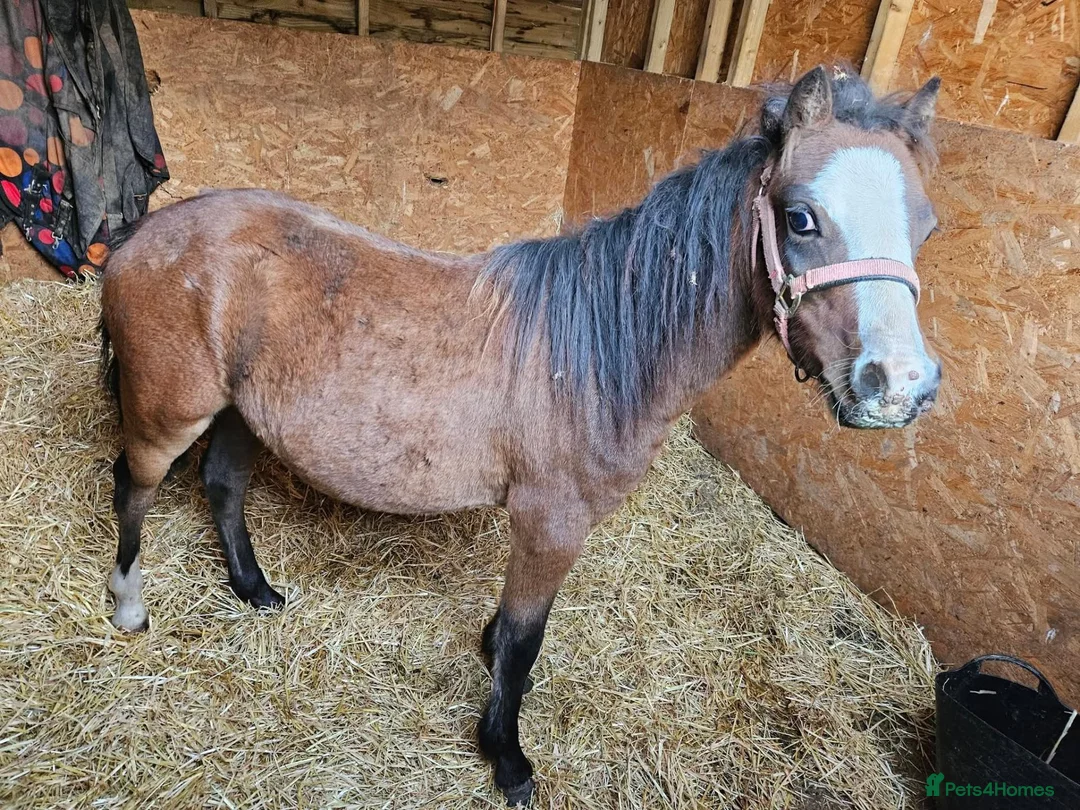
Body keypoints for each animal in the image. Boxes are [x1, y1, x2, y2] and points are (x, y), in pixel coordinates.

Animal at [98, 66, 942, 805]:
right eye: (801, 217)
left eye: (926, 225)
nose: (901, 386)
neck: (597, 351)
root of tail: (140, 235)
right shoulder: (551, 521)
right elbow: (523, 641)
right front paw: (506, 757)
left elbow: (512, 630)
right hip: (170, 412)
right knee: (132, 486)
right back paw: (129, 607)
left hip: (244, 413)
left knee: (222, 487)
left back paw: (255, 591)